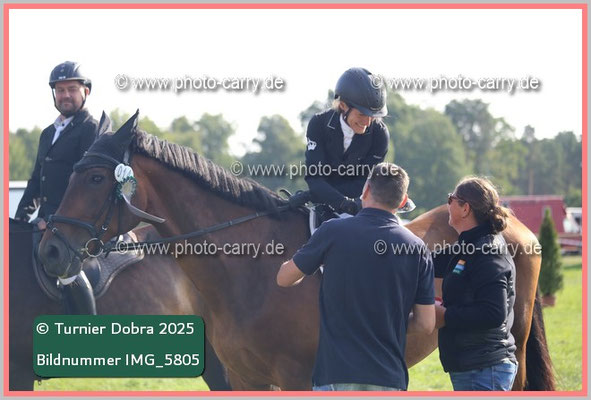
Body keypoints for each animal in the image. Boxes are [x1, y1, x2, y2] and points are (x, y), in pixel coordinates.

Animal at [38, 111, 555, 390]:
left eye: (96, 177)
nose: (50, 250)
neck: (252, 272)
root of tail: (509, 221)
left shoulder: (293, 375)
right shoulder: (244, 377)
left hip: (514, 340)